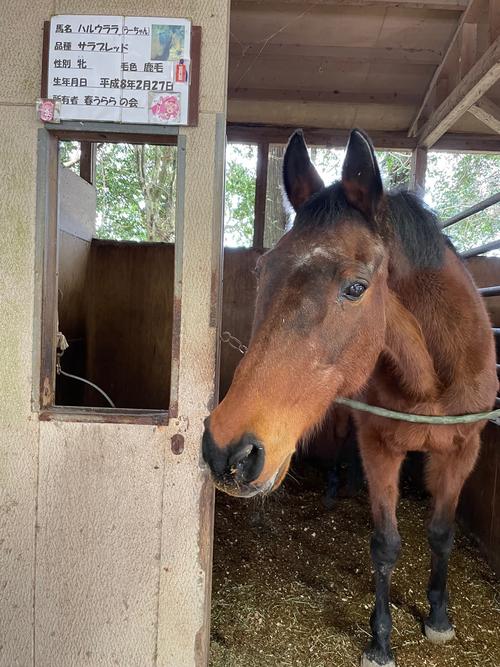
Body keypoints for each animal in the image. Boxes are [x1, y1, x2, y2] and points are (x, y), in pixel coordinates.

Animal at [202, 129, 498, 667]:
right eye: (263, 270)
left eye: (356, 288)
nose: (225, 449)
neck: (433, 379)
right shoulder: (380, 446)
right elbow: (385, 544)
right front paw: (380, 640)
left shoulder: (463, 451)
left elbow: (441, 534)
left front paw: (438, 617)